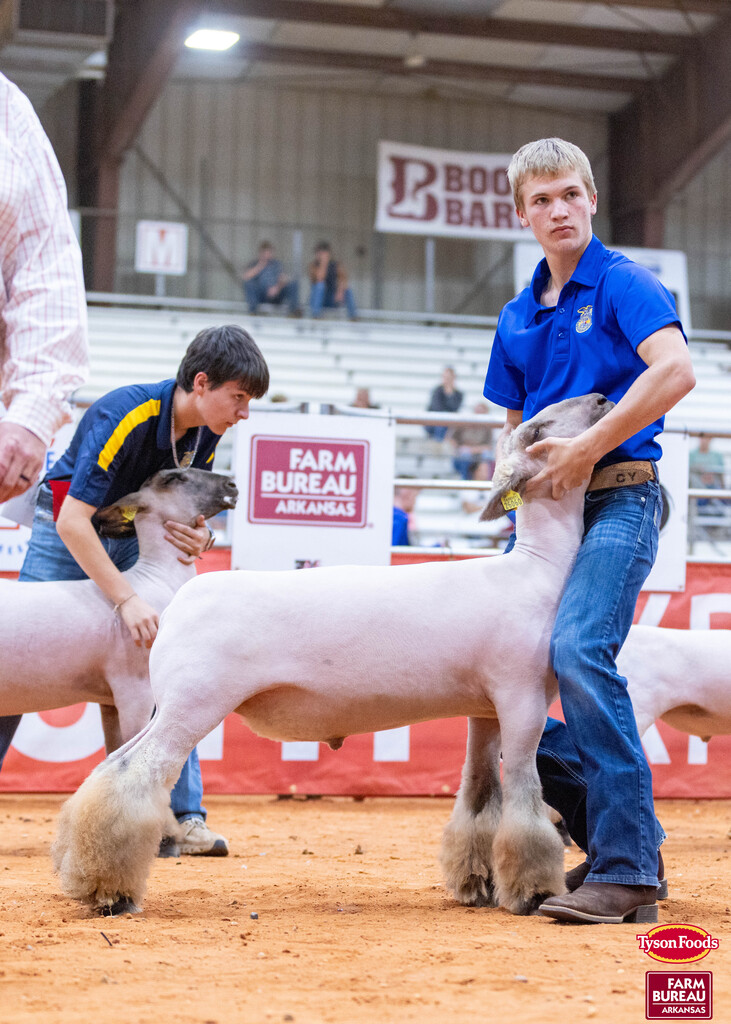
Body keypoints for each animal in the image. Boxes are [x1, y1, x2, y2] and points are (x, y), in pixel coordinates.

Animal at [0, 468, 238, 750]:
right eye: (175, 478)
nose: (232, 484)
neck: (156, 576)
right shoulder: (134, 691)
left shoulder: (109, 701)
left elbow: (112, 750)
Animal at [53, 393, 613, 918]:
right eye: (538, 429)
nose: (605, 399)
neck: (537, 567)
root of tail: (176, 605)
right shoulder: (522, 698)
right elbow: (522, 791)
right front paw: (533, 892)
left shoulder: (485, 708)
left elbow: (479, 796)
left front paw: (478, 886)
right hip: (194, 703)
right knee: (136, 773)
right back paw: (110, 893)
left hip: (169, 703)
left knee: (110, 768)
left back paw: (78, 870)